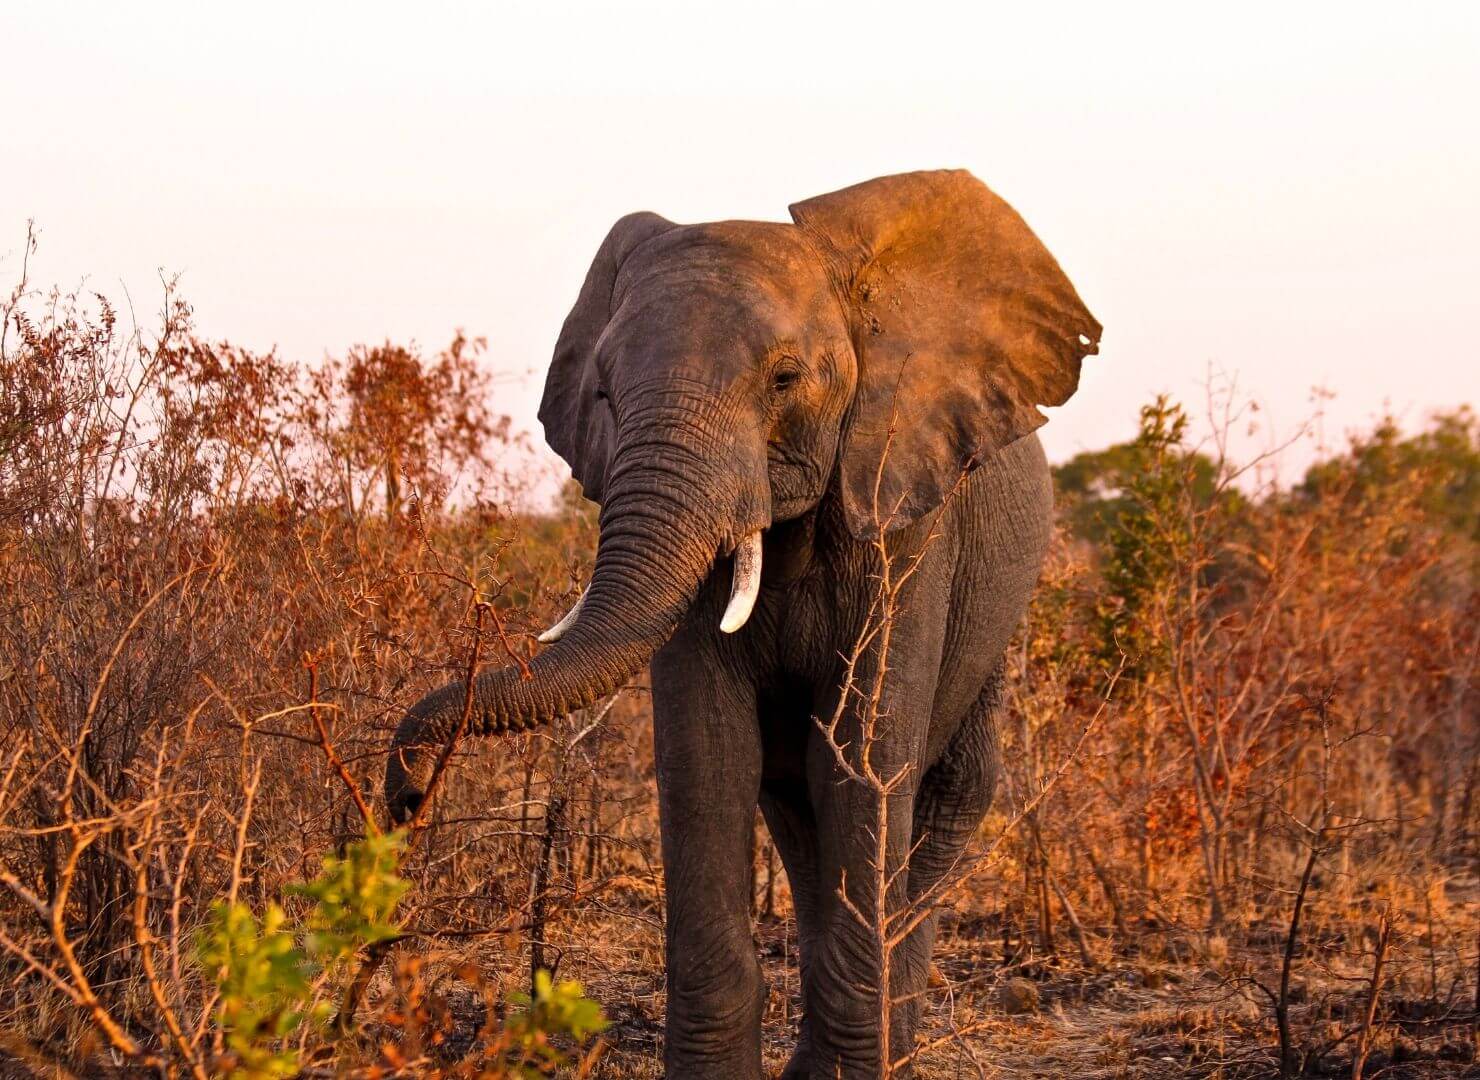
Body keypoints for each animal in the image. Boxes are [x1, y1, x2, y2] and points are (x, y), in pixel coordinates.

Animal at [385, 169, 1100, 1078]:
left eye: (787, 378)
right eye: (605, 393)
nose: (403, 794)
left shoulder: (903, 512)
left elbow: (863, 759)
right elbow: (709, 754)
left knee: (947, 795)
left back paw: (897, 1044)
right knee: (794, 809)